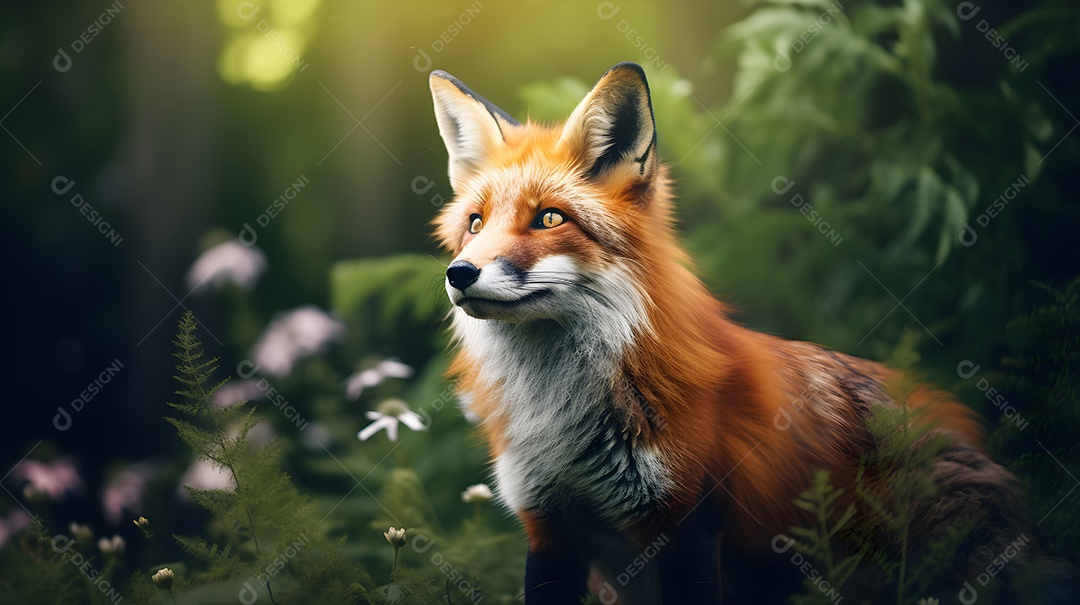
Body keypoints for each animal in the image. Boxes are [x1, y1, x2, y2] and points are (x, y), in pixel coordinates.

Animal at [427, 62, 1077, 604]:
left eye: (550, 218)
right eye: (476, 223)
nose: (460, 274)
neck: (565, 422)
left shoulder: (688, 525)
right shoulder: (548, 529)